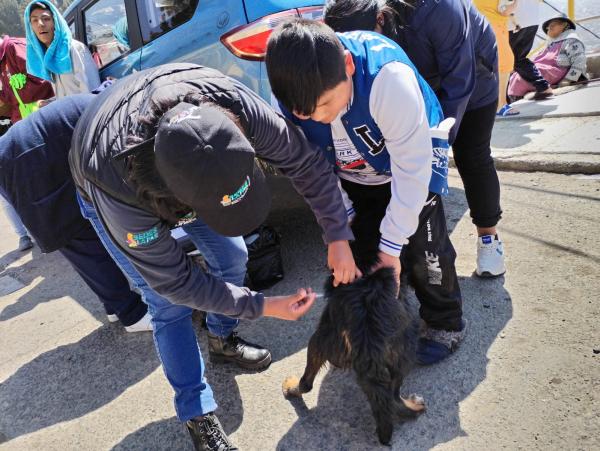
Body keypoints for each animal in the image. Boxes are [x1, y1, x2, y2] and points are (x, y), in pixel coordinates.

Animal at [284, 266, 424, 446]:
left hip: (323, 336)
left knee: (306, 382)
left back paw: (290, 387)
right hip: (402, 351)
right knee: (393, 396)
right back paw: (416, 407)